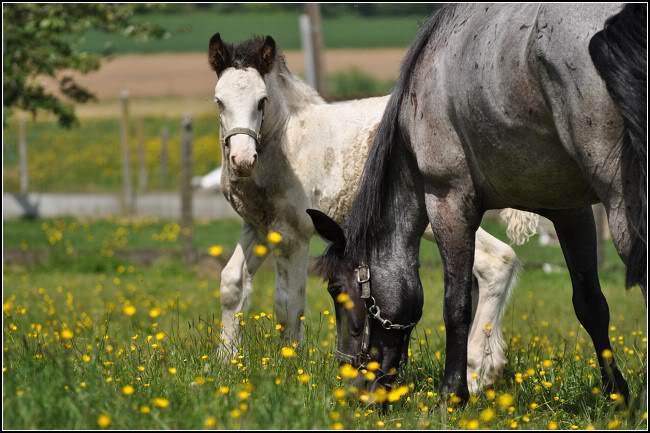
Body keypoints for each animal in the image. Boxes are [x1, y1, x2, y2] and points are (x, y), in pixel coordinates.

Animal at [308, 3, 644, 402]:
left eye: (336, 290)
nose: (352, 385)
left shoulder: (448, 201)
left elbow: (456, 305)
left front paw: (452, 394)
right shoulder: (569, 210)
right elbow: (590, 303)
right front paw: (617, 394)